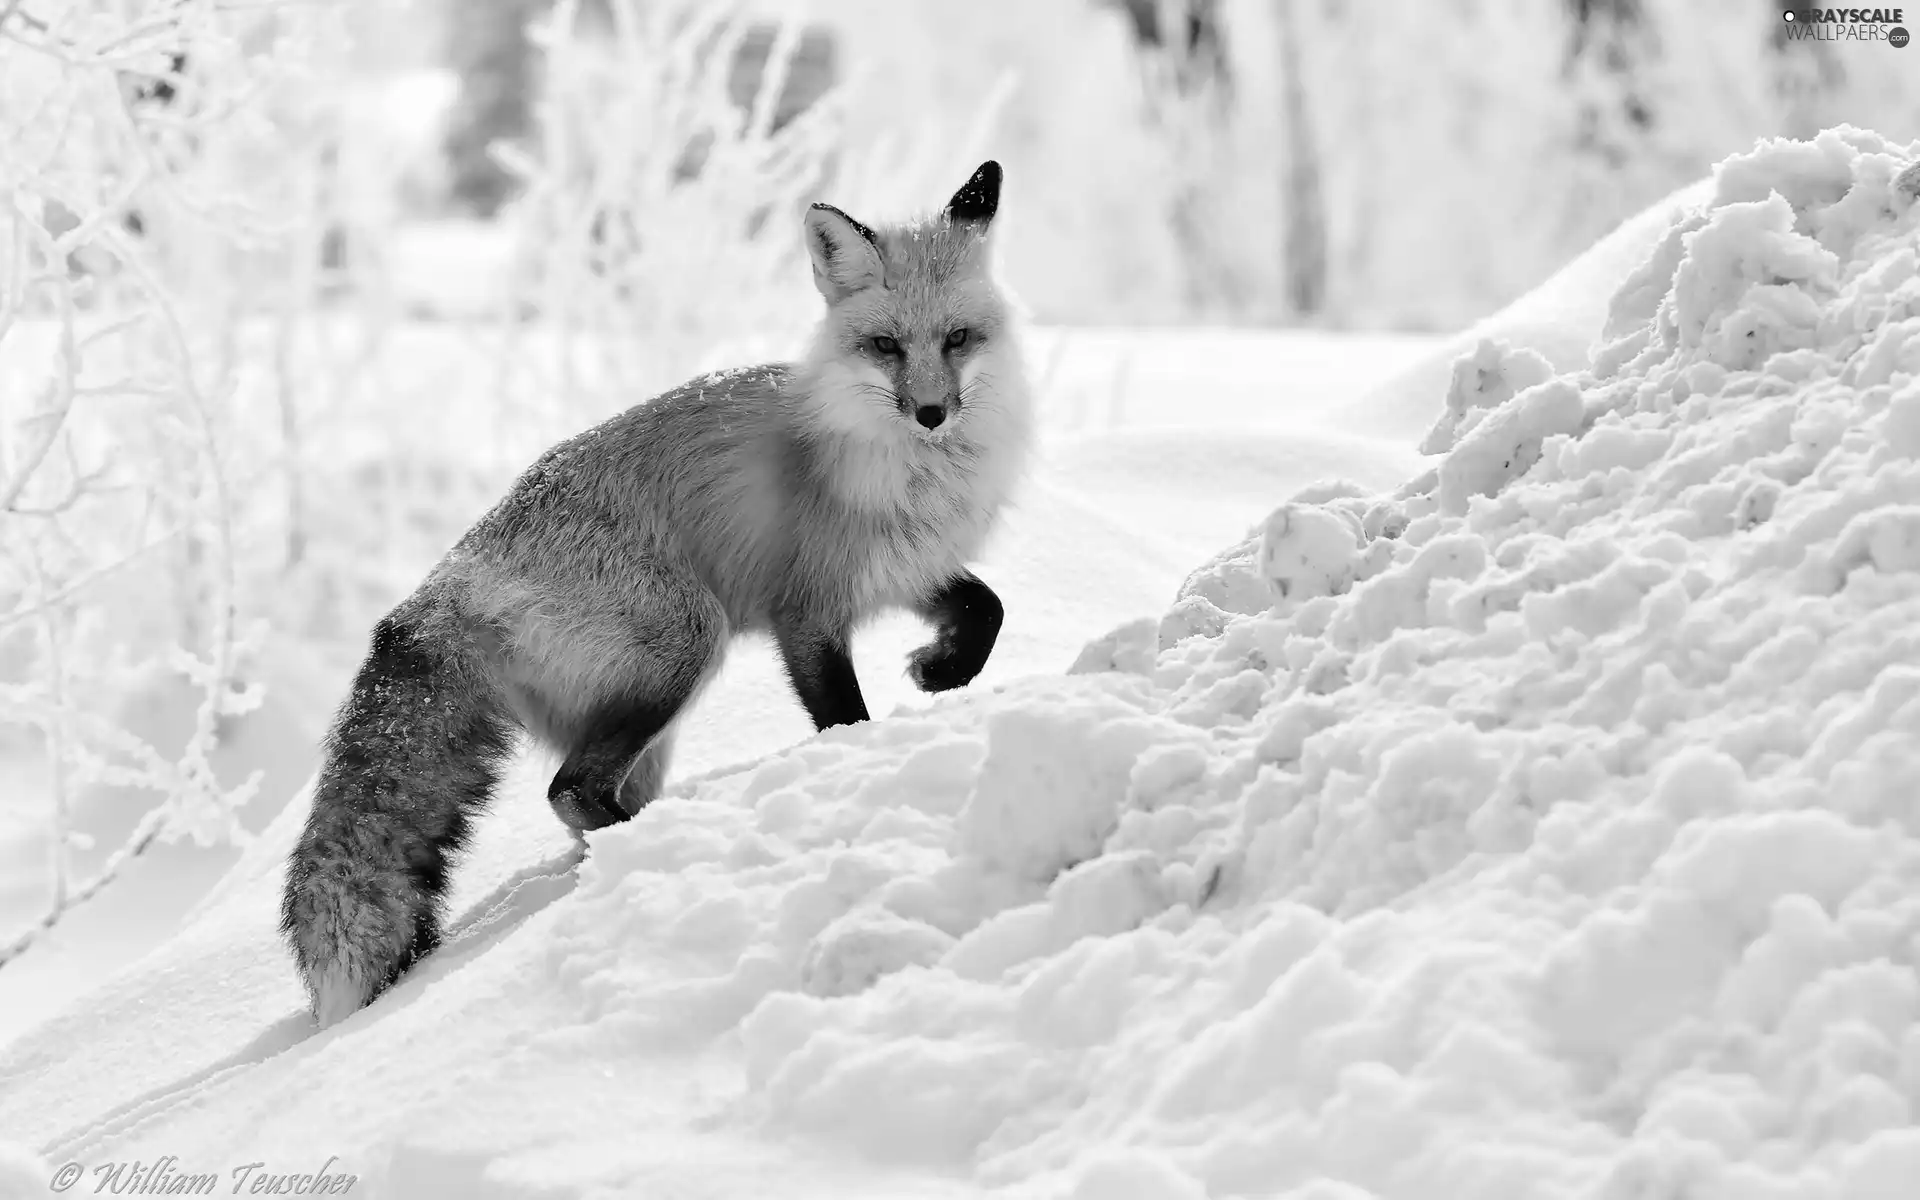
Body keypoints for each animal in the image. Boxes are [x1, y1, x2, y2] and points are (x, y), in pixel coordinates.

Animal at [278, 156, 1036, 1021]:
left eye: (957, 338)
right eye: (885, 345)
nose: (932, 412)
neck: (904, 471)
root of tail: (439, 590)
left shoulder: (905, 569)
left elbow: (987, 608)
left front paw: (941, 670)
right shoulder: (806, 611)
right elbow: (845, 716)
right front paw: (875, 739)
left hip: (646, 712)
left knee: (579, 799)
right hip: (683, 649)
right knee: (570, 790)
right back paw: (660, 835)